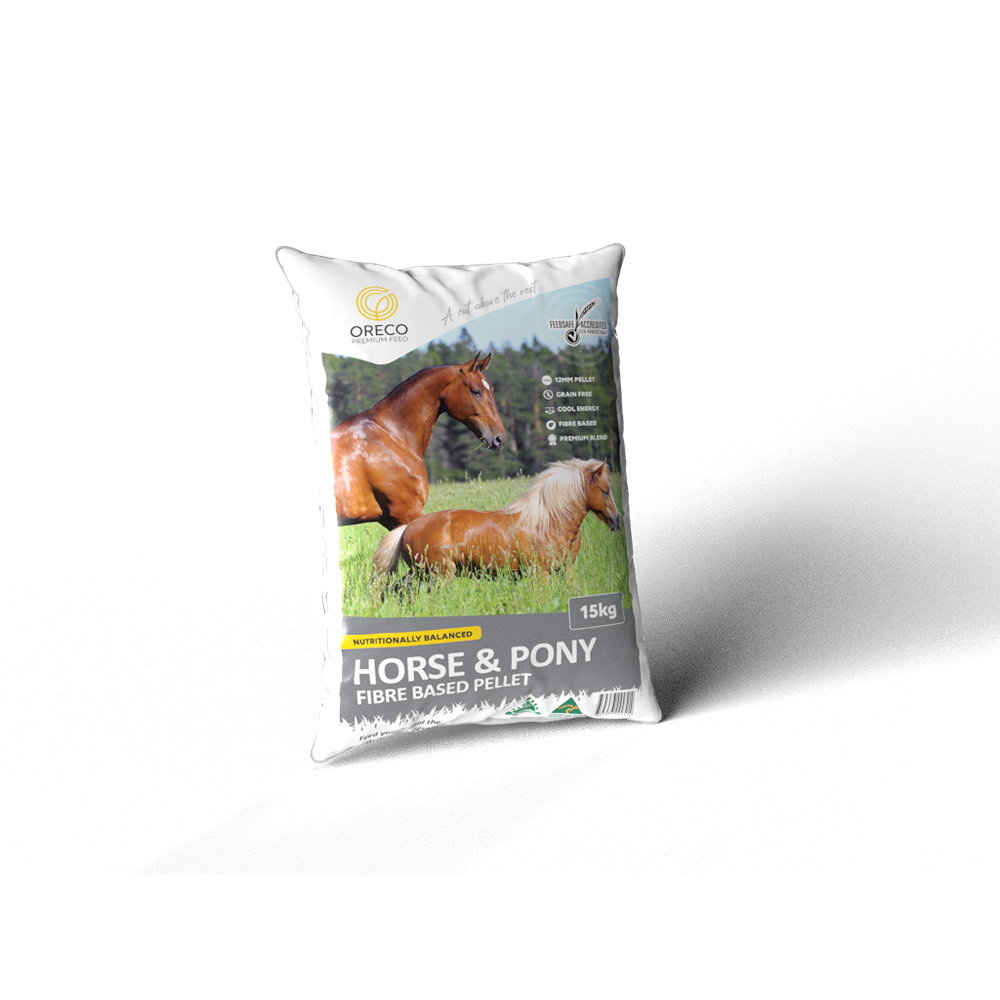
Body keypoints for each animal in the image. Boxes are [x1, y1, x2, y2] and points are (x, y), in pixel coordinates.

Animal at [332, 351, 506, 529]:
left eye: (491, 389)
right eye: (476, 391)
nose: (500, 438)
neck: (392, 435)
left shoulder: (389, 519)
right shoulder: (408, 512)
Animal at [371, 458, 621, 580]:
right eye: (606, 490)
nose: (617, 520)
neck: (549, 523)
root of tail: (407, 528)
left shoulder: (566, 570)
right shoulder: (540, 573)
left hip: (421, 573)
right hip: (440, 574)